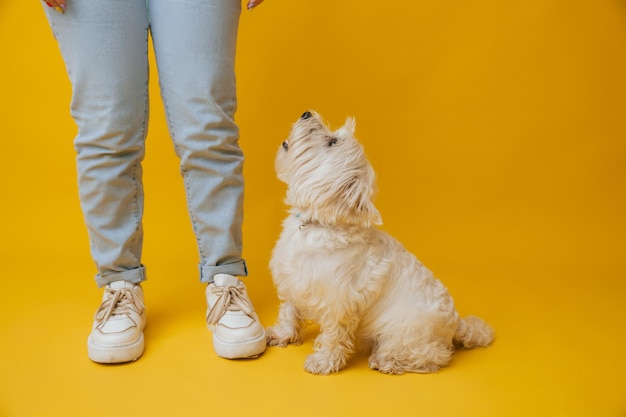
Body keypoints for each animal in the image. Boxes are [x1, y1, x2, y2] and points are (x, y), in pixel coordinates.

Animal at [266, 110, 492, 374]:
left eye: (332, 142)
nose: (306, 113)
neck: (318, 223)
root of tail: (456, 322)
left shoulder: (339, 303)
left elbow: (333, 335)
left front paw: (324, 361)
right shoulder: (292, 282)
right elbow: (289, 312)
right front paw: (280, 335)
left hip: (404, 330)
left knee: (431, 356)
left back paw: (385, 361)